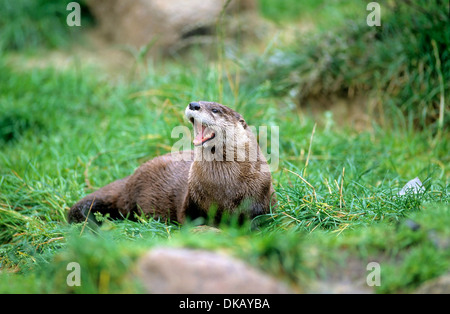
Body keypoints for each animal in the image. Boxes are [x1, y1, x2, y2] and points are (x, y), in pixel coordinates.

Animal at [68, 100, 276, 223]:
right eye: (199, 101)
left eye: (215, 110)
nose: (194, 104)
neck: (224, 188)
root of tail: (130, 179)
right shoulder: (191, 201)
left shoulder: (260, 200)